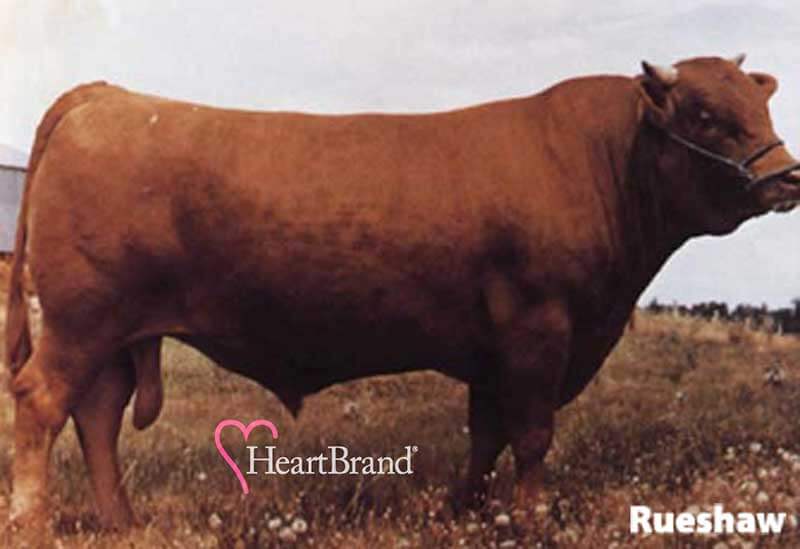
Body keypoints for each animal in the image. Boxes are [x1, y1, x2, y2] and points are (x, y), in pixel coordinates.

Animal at [5, 54, 800, 533]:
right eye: (705, 114)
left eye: (759, 107)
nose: (785, 176)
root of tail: (106, 96)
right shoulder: (540, 326)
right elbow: (532, 433)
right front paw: (531, 518)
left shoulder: (495, 344)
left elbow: (488, 430)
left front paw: (468, 507)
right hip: (79, 322)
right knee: (43, 403)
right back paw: (32, 521)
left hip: (112, 333)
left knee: (98, 414)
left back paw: (123, 521)